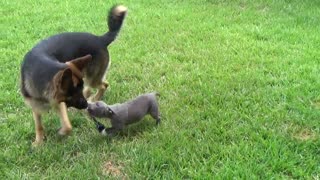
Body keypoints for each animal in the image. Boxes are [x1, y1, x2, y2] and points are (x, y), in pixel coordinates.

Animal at [19, 4, 127, 145]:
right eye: (72, 93)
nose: (85, 105)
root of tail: (100, 39)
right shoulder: (36, 106)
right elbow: (39, 126)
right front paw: (38, 142)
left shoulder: (60, 103)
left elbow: (67, 126)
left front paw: (61, 133)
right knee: (96, 86)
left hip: (92, 78)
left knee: (104, 85)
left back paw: (93, 98)